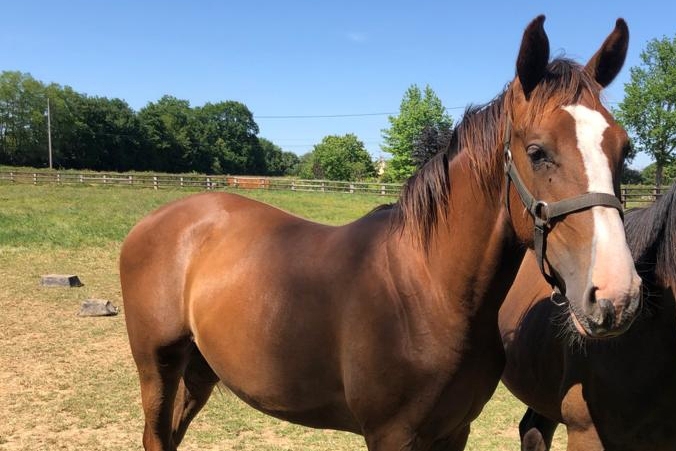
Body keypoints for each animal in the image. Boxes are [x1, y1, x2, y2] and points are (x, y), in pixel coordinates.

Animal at [120, 16, 640, 451]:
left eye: (623, 146)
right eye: (537, 152)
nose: (616, 295)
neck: (426, 291)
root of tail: (154, 221)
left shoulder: (454, 430)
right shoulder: (391, 435)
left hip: (199, 369)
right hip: (157, 368)